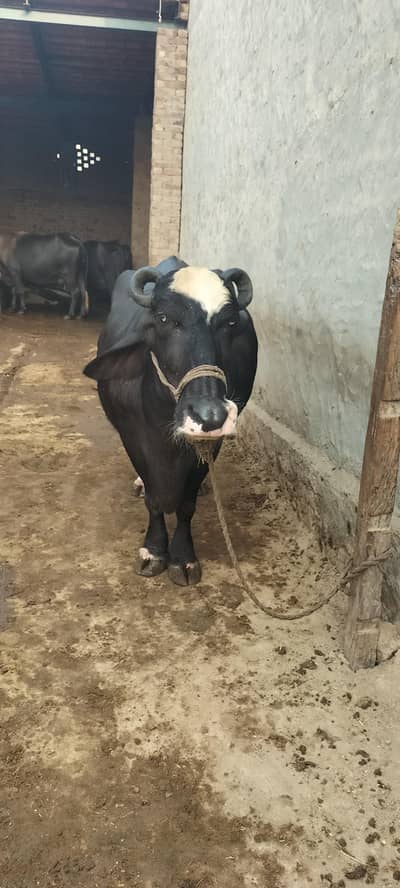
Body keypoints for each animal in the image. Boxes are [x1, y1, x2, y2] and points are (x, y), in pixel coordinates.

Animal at [84, 255, 258, 586]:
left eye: (229, 322)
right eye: (164, 319)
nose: (209, 414)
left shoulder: (211, 444)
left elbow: (186, 505)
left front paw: (182, 557)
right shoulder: (132, 438)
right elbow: (154, 499)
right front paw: (153, 551)